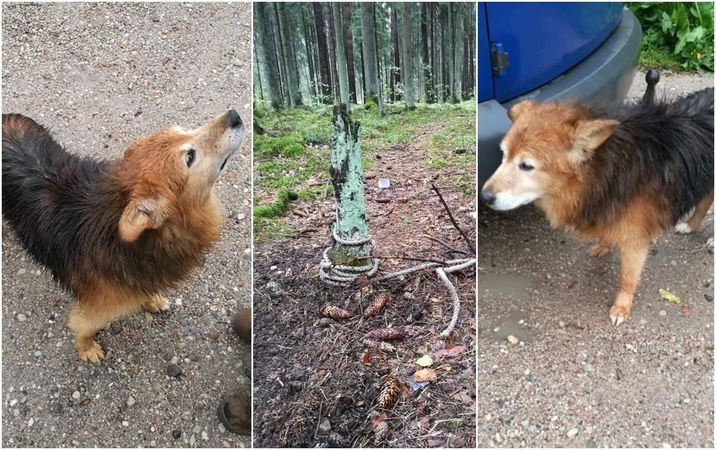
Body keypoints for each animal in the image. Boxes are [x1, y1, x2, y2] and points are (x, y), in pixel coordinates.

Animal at [2, 110, 246, 362]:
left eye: (183, 130)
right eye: (190, 157)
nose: (234, 115)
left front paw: (150, 299)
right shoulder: (98, 307)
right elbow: (82, 327)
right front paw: (86, 348)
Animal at [484, 76, 712, 324]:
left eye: (526, 166)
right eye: (504, 155)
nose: (485, 197)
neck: (605, 168)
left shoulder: (635, 240)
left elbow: (627, 278)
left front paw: (621, 308)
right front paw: (604, 244)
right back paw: (691, 225)